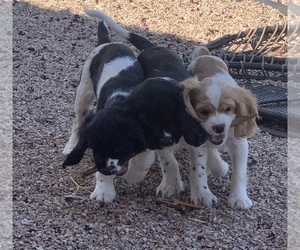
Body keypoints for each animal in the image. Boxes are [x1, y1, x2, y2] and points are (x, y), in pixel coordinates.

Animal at [63, 11, 207, 203]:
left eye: (119, 147)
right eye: (94, 147)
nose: (106, 169)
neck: (121, 101)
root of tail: (108, 42)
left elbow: (144, 158)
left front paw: (132, 175)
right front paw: (104, 190)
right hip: (84, 90)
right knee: (78, 119)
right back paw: (71, 145)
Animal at [180, 45, 258, 209]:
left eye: (228, 109)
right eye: (204, 112)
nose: (219, 127)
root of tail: (205, 55)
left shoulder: (239, 144)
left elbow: (239, 172)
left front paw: (239, 198)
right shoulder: (200, 140)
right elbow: (205, 164)